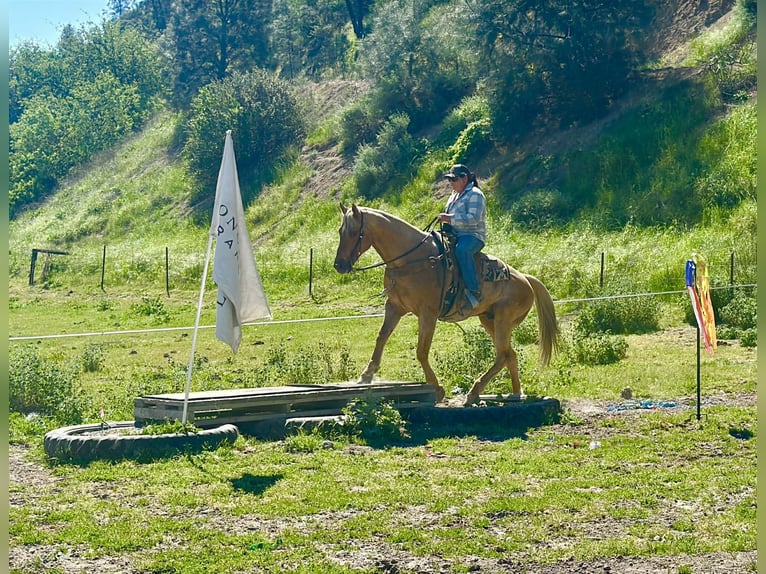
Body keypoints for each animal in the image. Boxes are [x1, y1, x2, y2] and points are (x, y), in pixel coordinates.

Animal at [333, 203, 559, 406]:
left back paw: (474, 392)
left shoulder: (428, 313)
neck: (412, 259)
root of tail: (526, 279)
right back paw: (515, 393)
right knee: (509, 354)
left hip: (503, 320)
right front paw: (366, 376)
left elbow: (421, 351)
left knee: (503, 355)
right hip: (489, 319)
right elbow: (381, 338)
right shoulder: (394, 307)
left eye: (353, 232)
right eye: (340, 231)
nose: (339, 265)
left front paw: (437, 388)